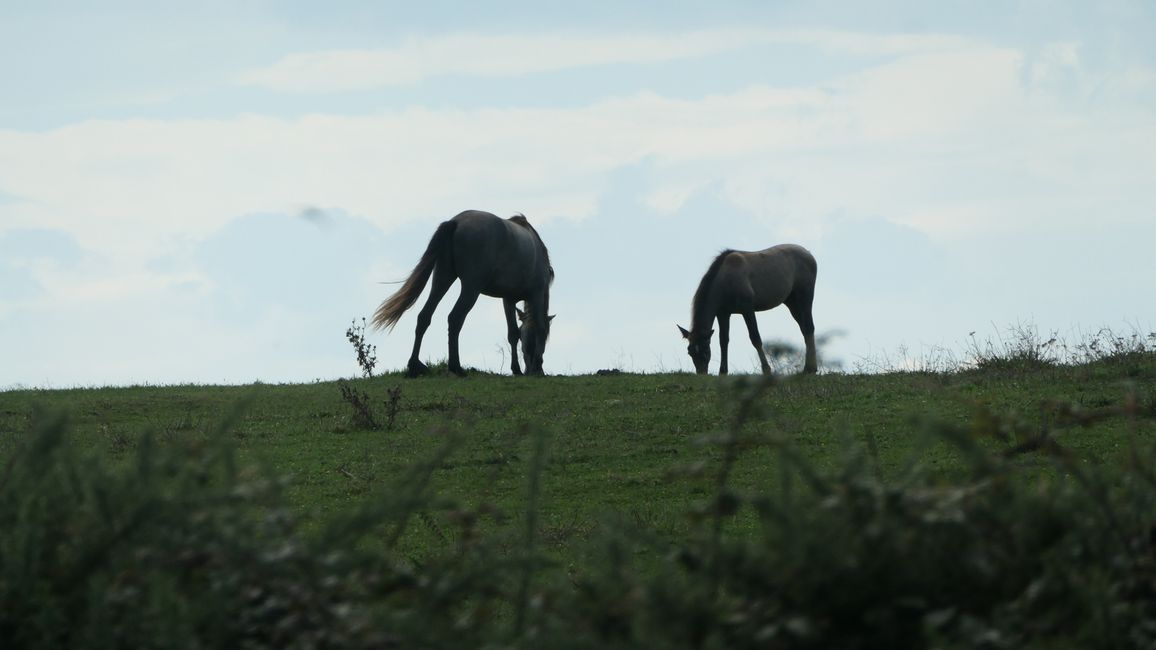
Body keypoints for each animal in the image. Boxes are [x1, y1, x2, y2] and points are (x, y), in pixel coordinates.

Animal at [369, 210, 550, 377]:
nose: (530, 369)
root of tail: (455, 222)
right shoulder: (536, 295)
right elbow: (539, 328)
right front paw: (534, 368)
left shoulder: (508, 300)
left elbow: (512, 333)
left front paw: (516, 369)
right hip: (471, 289)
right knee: (455, 318)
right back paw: (456, 366)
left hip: (442, 280)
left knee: (424, 316)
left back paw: (415, 365)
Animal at [679, 242, 818, 374]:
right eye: (690, 352)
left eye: (705, 351)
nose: (701, 373)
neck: (725, 280)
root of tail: (809, 254)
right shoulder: (723, 314)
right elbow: (723, 341)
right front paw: (723, 371)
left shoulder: (747, 309)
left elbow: (755, 338)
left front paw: (766, 369)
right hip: (792, 303)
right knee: (804, 329)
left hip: (805, 297)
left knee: (809, 327)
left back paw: (810, 368)